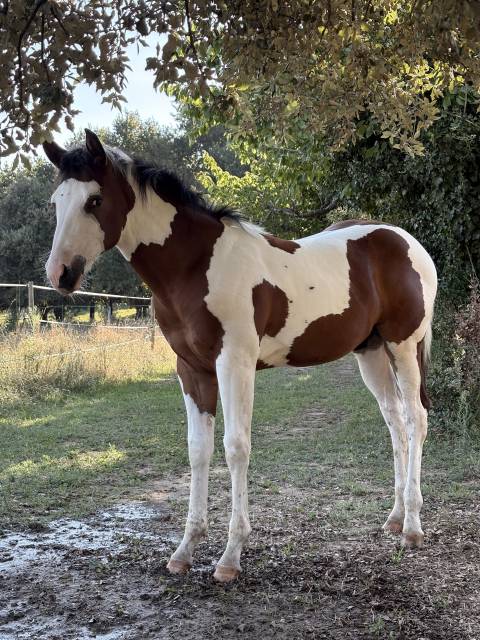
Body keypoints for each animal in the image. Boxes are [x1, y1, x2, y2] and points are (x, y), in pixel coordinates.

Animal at [43, 129, 437, 583]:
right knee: (394, 419)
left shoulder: (234, 363)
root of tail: (406, 241)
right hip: (370, 352)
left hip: (403, 346)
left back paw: (412, 527)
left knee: (415, 418)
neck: (196, 266)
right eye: (56, 202)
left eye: (94, 200)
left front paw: (230, 555)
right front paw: (185, 549)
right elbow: (198, 449)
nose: (60, 274)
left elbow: (235, 447)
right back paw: (394, 516)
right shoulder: (191, 370)